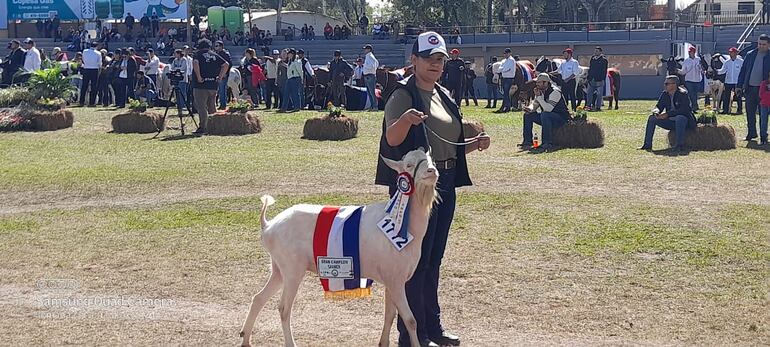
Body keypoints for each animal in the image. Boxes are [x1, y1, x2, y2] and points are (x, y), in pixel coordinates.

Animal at [240, 149, 438, 347]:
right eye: (409, 165)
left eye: (430, 160)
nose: (432, 171)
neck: (402, 224)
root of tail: (268, 226)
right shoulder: (396, 280)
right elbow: (410, 320)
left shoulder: (391, 280)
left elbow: (389, 315)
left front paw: (383, 343)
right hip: (292, 269)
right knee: (283, 308)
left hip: (278, 269)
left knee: (258, 298)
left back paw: (245, 338)